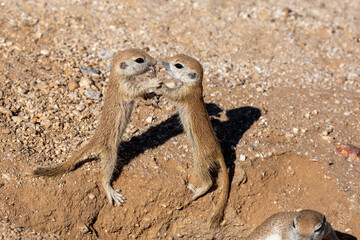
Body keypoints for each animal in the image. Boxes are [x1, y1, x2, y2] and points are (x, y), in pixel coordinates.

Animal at [32, 48, 162, 206]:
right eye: (139, 60)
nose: (155, 62)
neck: (118, 76)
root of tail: (94, 140)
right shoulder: (125, 88)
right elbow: (137, 90)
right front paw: (154, 81)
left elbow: (142, 94)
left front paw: (153, 94)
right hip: (110, 155)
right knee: (104, 177)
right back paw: (111, 191)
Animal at [156, 53, 229, 228]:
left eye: (178, 65)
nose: (162, 62)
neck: (194, 86)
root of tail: (219, 154)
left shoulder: (184, 93)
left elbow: (171, 94)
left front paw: (158, 81)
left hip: (200, 160)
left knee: (209, 182)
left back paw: (196, 191)